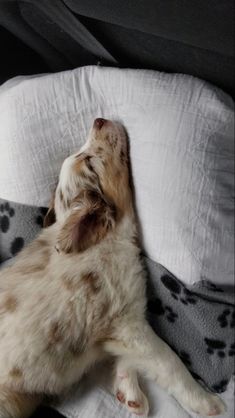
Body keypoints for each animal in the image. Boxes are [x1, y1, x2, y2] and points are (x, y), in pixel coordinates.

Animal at [0, 118, 226, 418]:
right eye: (90, 161)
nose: (99, 120)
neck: (106, 237)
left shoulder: (115, 331)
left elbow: (123, 357)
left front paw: (130, 393)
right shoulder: (127, 322)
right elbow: (169, 361)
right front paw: (207, 402)